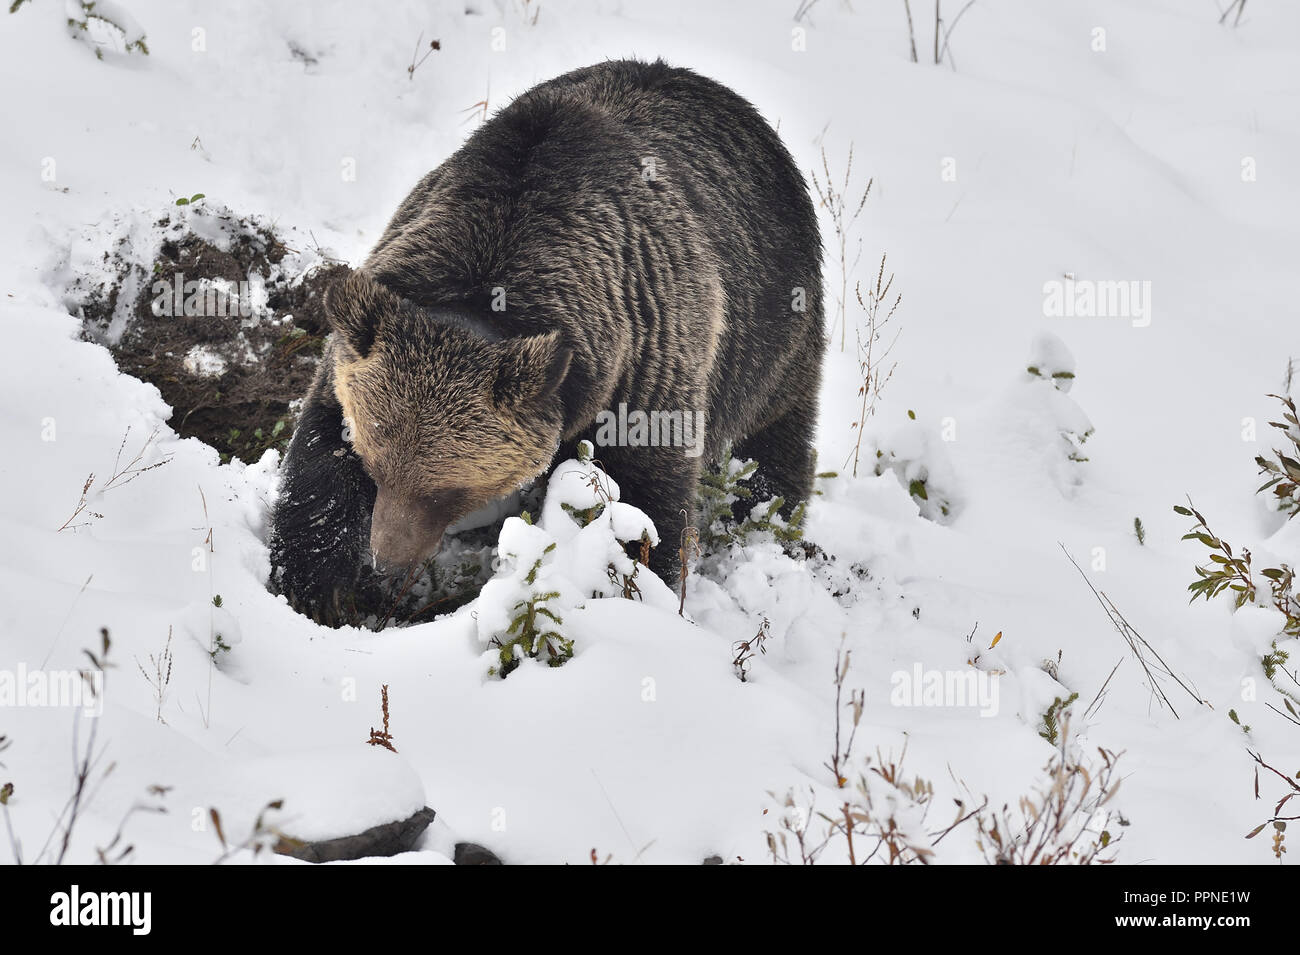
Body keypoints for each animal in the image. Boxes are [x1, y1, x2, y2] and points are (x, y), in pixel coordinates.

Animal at [269, 61, 826, 628]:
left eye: (449, 490)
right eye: (374, 461)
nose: (387, 559)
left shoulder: (647, 357)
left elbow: (645, 501)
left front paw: (633, 590)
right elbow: (320, 450)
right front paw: (317, 587)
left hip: (773, 336)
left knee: (775, 443)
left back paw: (770, 524)